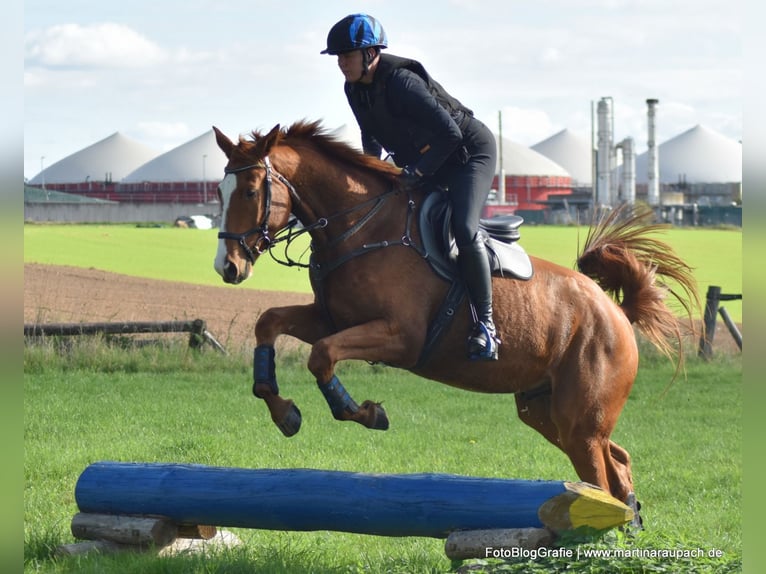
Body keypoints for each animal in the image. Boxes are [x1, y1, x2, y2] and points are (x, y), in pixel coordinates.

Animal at [211, 120, 699, 518]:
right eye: (217, 192)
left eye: (250, 191)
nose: (228, 267)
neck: (360, 228)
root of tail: (616, 312)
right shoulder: (331, 318)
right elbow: (269, 323)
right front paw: (283, 411)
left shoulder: (399, 337)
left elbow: (321, 356)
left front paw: (363, 412)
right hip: (545, 411)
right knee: (617, 463)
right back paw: (628, 521)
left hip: (580, 420)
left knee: (597, 474)